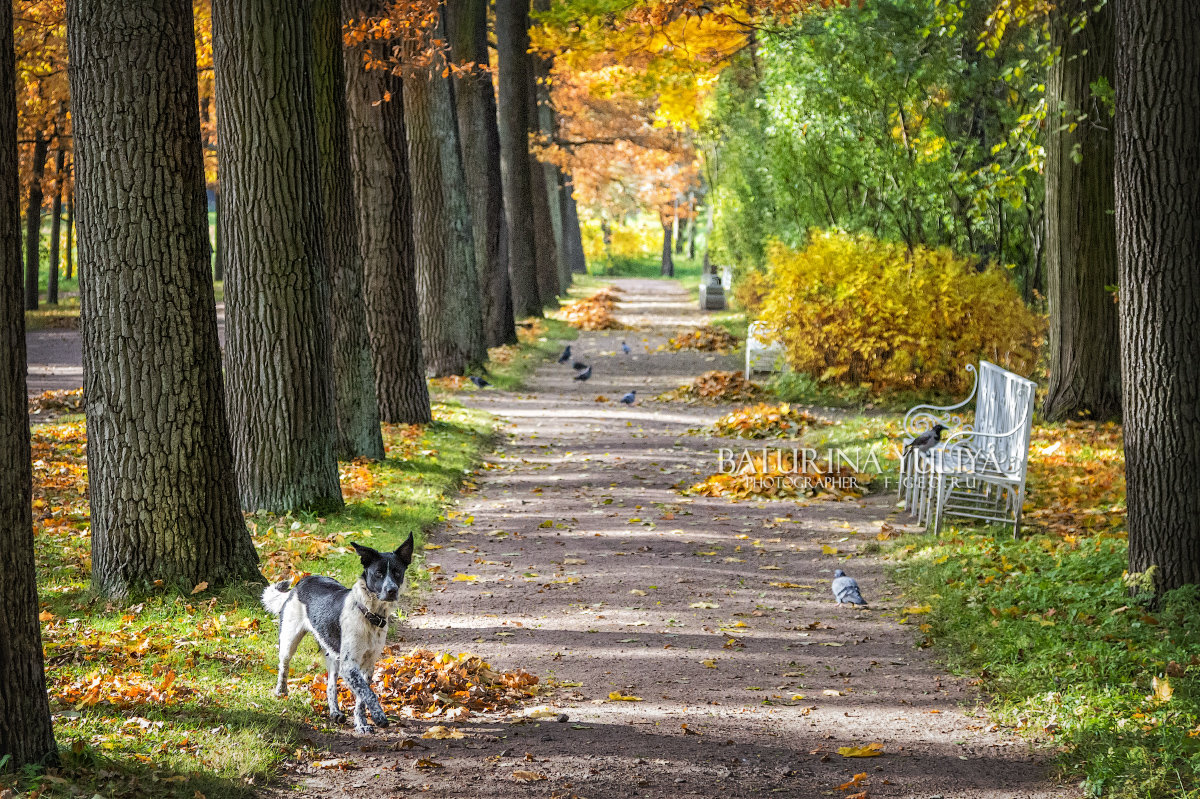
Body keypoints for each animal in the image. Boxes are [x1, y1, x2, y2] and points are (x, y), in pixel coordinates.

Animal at [260, 532, 415, 729]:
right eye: (378, 573)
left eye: (397, 572)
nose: (392, 590)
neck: (369, 614)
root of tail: (302, 580)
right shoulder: (349, 666)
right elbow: (369, 693)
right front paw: (379, 717)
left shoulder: (368, 664)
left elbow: (362, 697)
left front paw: (361, 723)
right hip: (289, 639)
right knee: (283, 665)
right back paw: (281, 691)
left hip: (333, 655)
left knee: (331, 686)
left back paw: (335, 712)